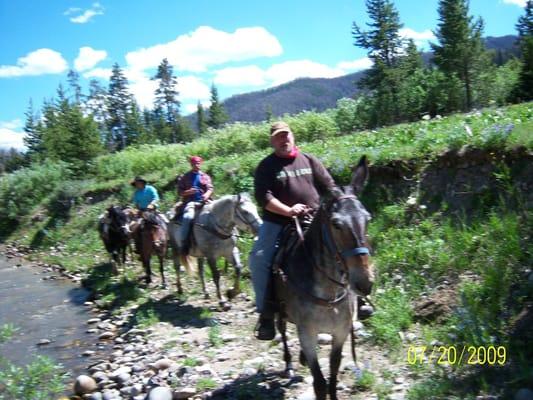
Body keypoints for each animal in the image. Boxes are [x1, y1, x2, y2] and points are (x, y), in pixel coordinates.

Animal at [272, 156, 372, 400]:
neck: (328, 293)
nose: (364, 283)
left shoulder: (341, 332)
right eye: (336, 224)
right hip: (279, 310)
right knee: (282, 329)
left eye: (368, 219)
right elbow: (319, 382)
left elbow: (333, 373)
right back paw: (289, 363)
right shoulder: (307, 333)